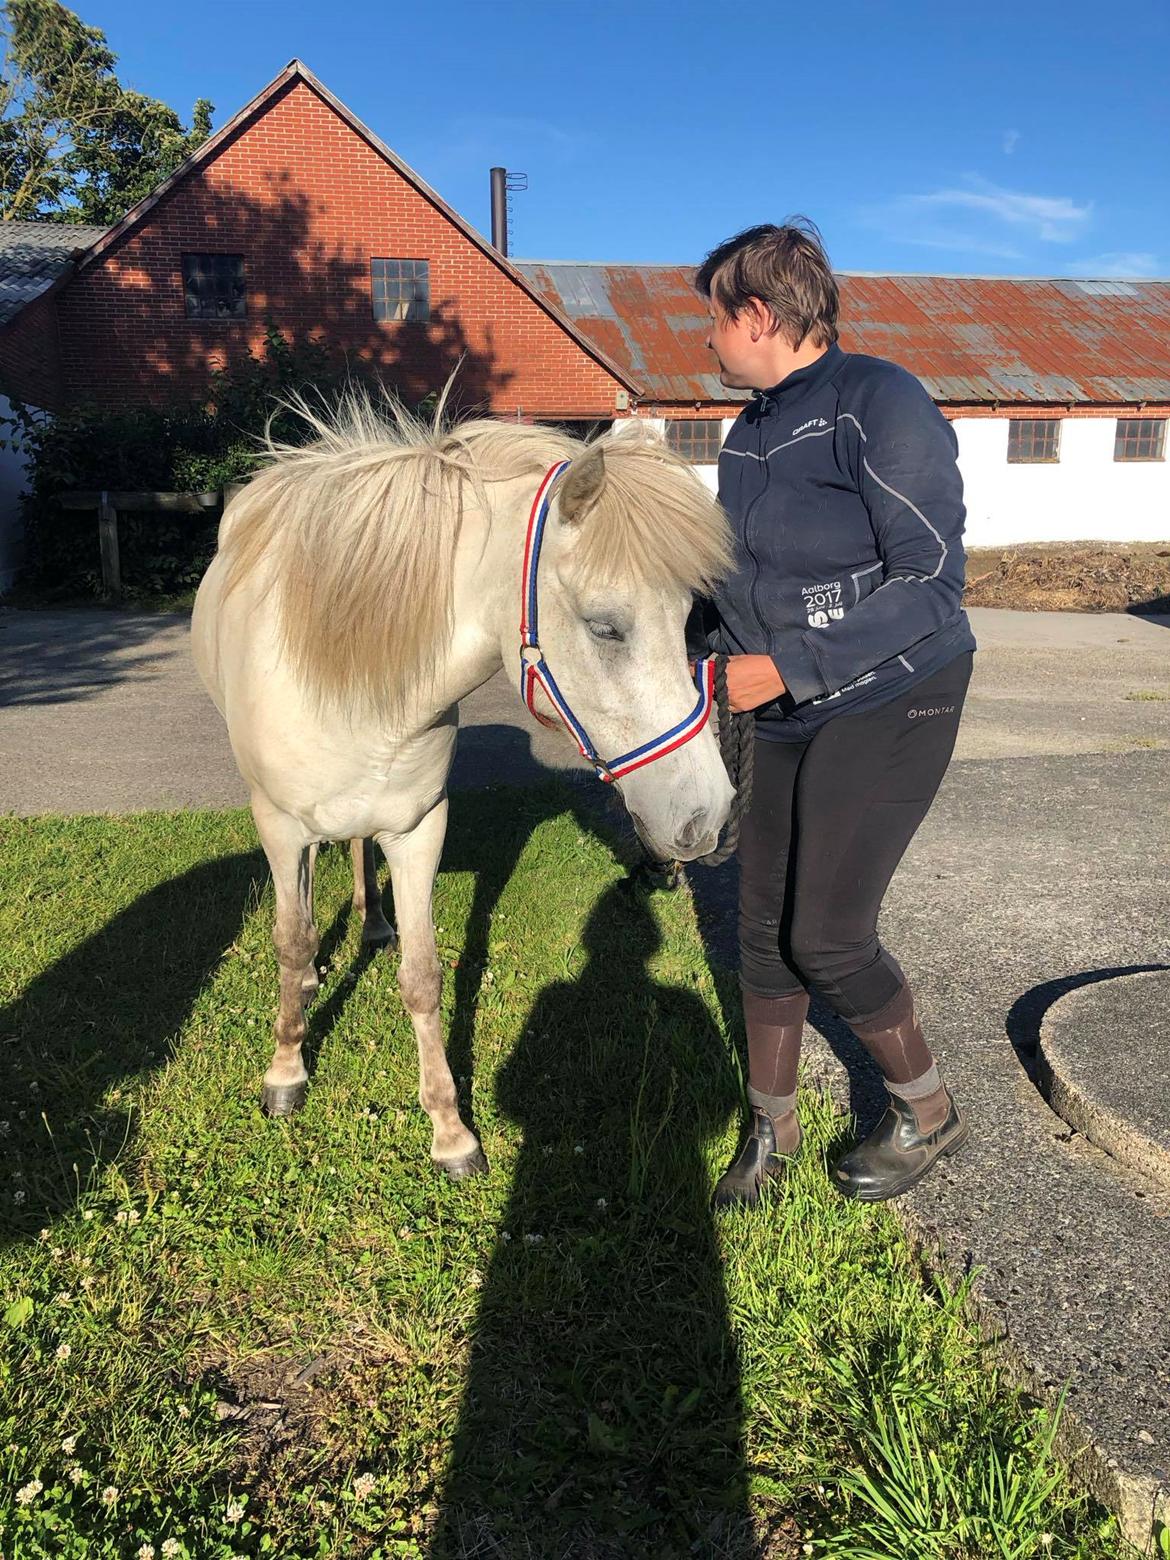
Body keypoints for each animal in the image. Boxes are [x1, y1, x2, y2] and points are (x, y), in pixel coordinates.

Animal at [195, 396, 733, 1173]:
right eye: (605, 627)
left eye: (691, 618)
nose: (707, 817)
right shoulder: (279, 826)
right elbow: (290, 940)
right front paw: (286, 1071)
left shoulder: (419, 828)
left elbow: (422, 975)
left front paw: (449, 1130)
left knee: (356, 852)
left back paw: (374, 922)